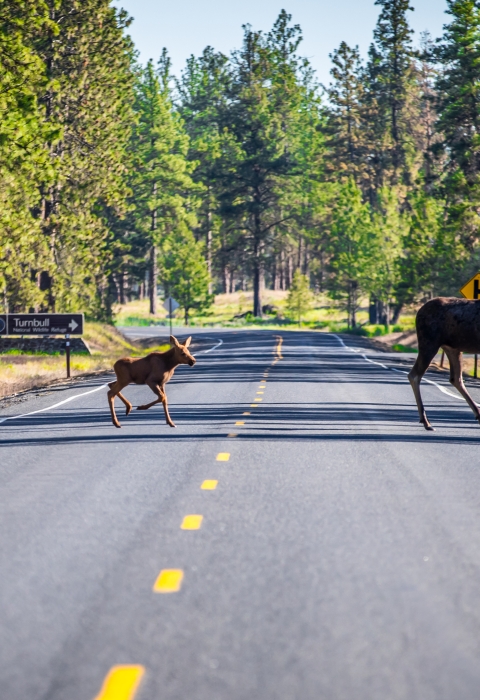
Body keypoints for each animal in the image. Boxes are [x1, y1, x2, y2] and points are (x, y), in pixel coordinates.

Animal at [409, 297, 480, 431]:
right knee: (414, 375)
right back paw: (426, 421)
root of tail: (419, 312)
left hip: (452, 348)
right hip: (429, 342)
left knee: (455, 378)